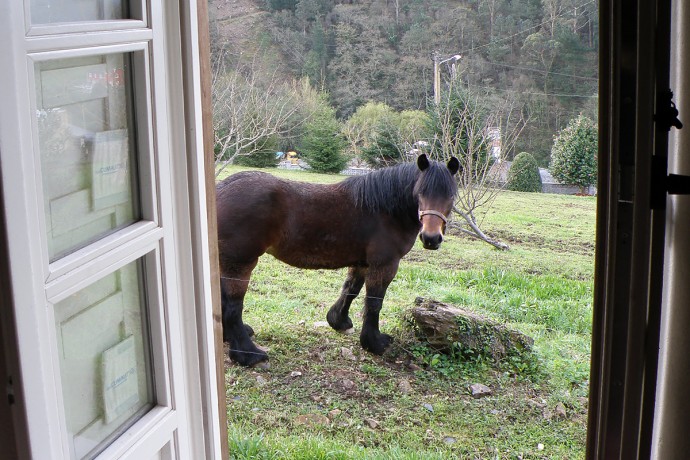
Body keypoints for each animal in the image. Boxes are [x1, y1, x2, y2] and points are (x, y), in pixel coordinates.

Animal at [218, 155, 460, 366]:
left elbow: (351, 290)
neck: (385, 210)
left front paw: (338, 321)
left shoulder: (362, 263)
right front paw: (375, 343)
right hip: (240, 263)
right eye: (420, 192)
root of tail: (221, 190)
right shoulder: (385, 264)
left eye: (450, 196)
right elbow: (374, 302)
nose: (431, 238)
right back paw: (248, 354)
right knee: (233, 306)